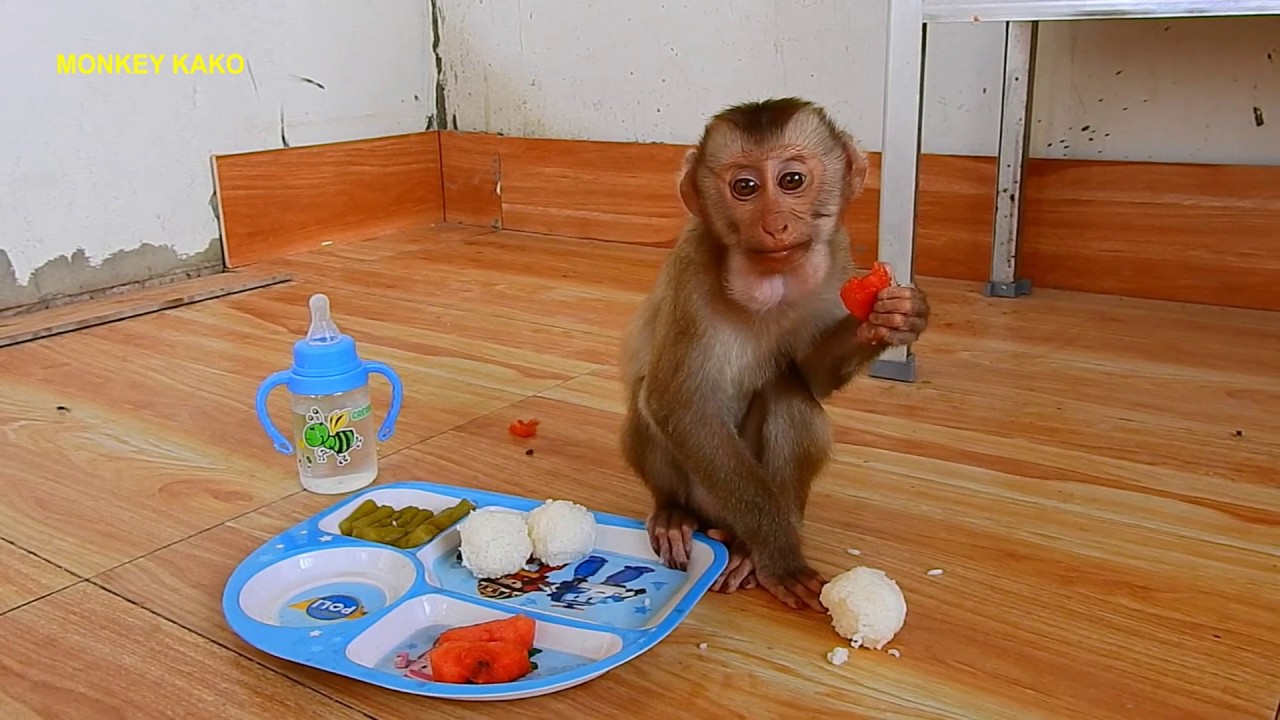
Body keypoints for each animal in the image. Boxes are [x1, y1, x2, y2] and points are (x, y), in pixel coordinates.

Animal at [618, 97, 930, 611]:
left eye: (791, 181)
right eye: (745, 187)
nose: (775, 223)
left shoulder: (836, 261)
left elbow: (811, 376)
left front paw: (894, 318)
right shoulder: (692, 271)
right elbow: (678, 405)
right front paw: (779, 553)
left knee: (790, 396)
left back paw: (743, 549)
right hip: (708, 495)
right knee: (651, 403)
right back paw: (677, 516)